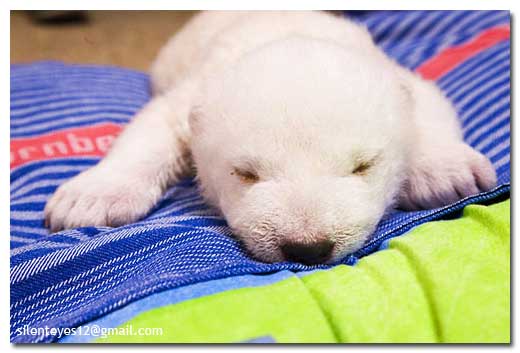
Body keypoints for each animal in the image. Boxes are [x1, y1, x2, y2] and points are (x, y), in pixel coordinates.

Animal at [44, 11, 496, 262]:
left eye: (363, 166)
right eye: (244, 173)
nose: (307, 247)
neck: (281, 34)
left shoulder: (392, 74)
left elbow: (425, 98)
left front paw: (447, 173)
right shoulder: (197, 88)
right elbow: (157, 124)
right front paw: (90, 199)